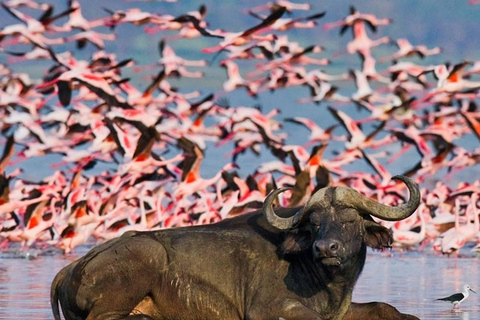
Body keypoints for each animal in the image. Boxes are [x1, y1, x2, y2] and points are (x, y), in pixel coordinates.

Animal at [51, 175, 420, 320]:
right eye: (314, 222)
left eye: (350, 219)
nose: (325, 248)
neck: (328, 283)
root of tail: (70, 268)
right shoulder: (268, 309)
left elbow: (388, 308)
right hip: (144, 258)